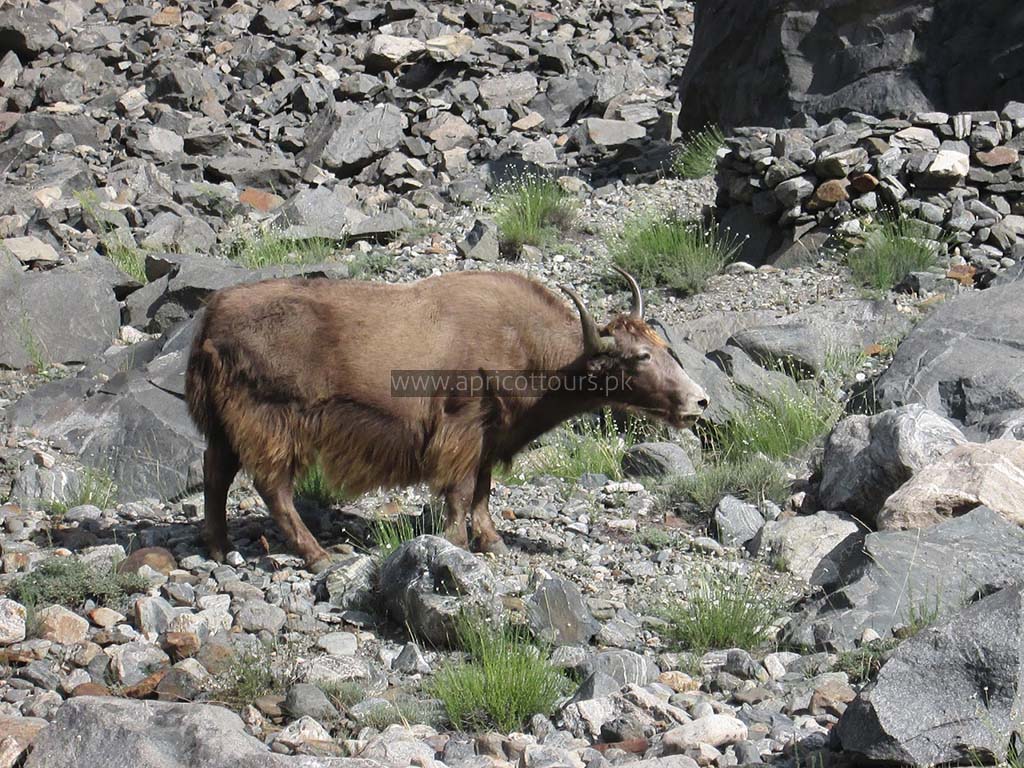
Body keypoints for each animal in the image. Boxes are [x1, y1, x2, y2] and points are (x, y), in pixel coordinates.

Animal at [185, 267, 708, 571]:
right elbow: (460, 490)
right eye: (639, 357)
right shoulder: (463, 428)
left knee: (216, 473)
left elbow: (483, 490)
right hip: (270, 420)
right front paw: (455, 543)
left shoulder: (491, 437)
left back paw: (218, 548)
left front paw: (493, 543)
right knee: (273, 487)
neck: (525, 342)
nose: (699, 402)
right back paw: (318, 556)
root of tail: (212, 315)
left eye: (662, 346)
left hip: (228, 427)